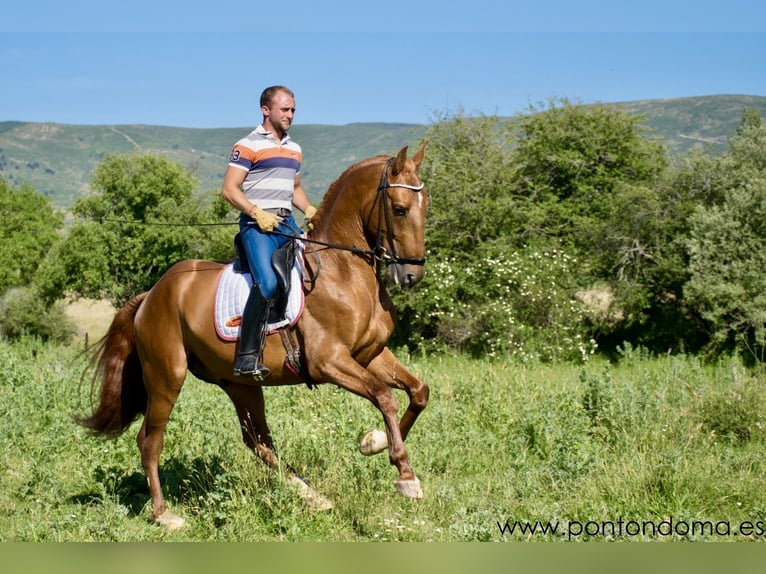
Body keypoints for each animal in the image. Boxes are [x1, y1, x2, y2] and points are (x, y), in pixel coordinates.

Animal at [78, 144, 432, 532]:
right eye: (399, 209)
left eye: (426, 205)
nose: (412, 275)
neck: (343, 272)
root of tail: (152, 293)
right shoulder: (329, 362)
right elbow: (385, 397)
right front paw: (405, 476)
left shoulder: (371, 355)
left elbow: (418, 392)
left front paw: (374, 442)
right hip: (166, 377)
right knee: (149, 440)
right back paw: (163, 514)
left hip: (240, 384)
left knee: (258, 442)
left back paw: (312, 496)